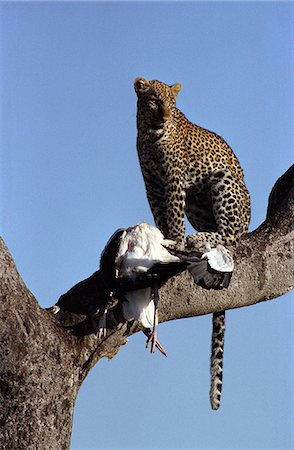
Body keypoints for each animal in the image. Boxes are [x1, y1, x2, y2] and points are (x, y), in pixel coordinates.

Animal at [133, 78, 250, 412]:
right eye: (153, 101)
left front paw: (174, 239)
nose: (163, 116)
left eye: (171, 104)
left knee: (232, 235)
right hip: (198, 203)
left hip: (223, 183)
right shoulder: (152, 184)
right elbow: (160, 215)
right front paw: (163, 238)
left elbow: (172, 215)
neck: (150, 134)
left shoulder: (173, 180)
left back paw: (197, 238)